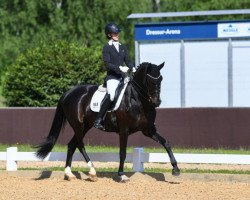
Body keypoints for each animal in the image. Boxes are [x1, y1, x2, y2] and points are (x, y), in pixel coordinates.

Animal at [35, 61, 180, 182]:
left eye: (161, 79)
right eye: (149, 79)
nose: (157, 102)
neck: (138, 101)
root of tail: (68, 93)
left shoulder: (148, 130)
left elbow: (166, 143)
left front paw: (176, 169)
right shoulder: (124, 130)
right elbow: (122, 152)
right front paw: (121, 175)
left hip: (86, 125)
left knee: (72, 145)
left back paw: (69, 174)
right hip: (78, 125)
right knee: (80, 145)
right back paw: (92, 172)